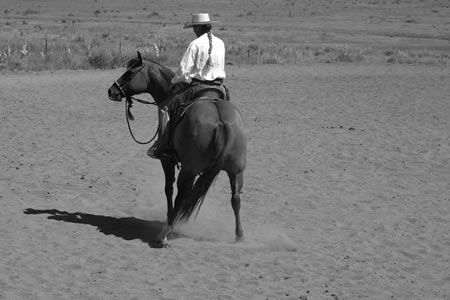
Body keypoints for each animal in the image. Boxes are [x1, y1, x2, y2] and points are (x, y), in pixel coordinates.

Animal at [107, 51, 248, 244]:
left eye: (130, 73)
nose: (111, 91)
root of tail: (221, 121)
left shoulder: (167, 161)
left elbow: (168, 189)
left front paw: (169, 216)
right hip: (236, 170)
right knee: (235, 198)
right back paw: (239, 235)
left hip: (189, 170)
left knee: (182, 195)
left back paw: (165, 232)